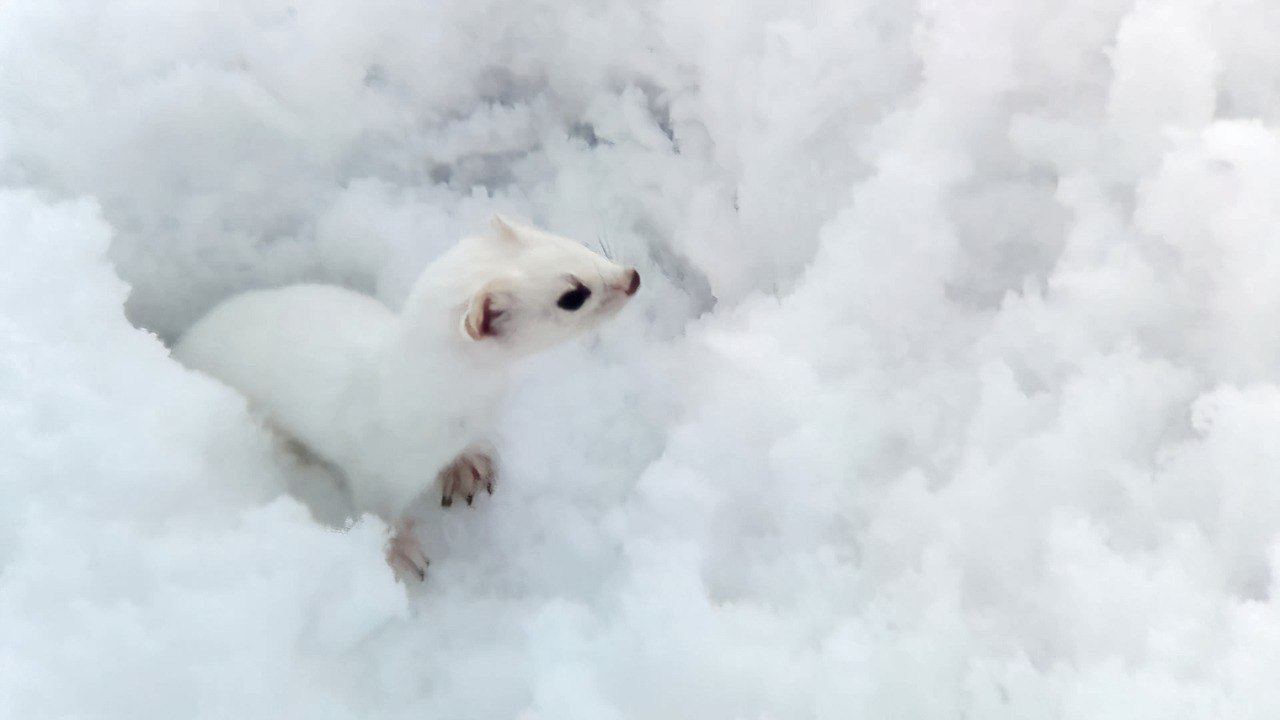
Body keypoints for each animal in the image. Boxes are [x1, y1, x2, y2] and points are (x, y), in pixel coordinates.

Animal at [172, 215, 640, 579]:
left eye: (571, 243)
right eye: (572, 296)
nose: (633, 277)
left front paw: (466, 466)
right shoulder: (377, 467)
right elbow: (378, 511)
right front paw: (401, 553)